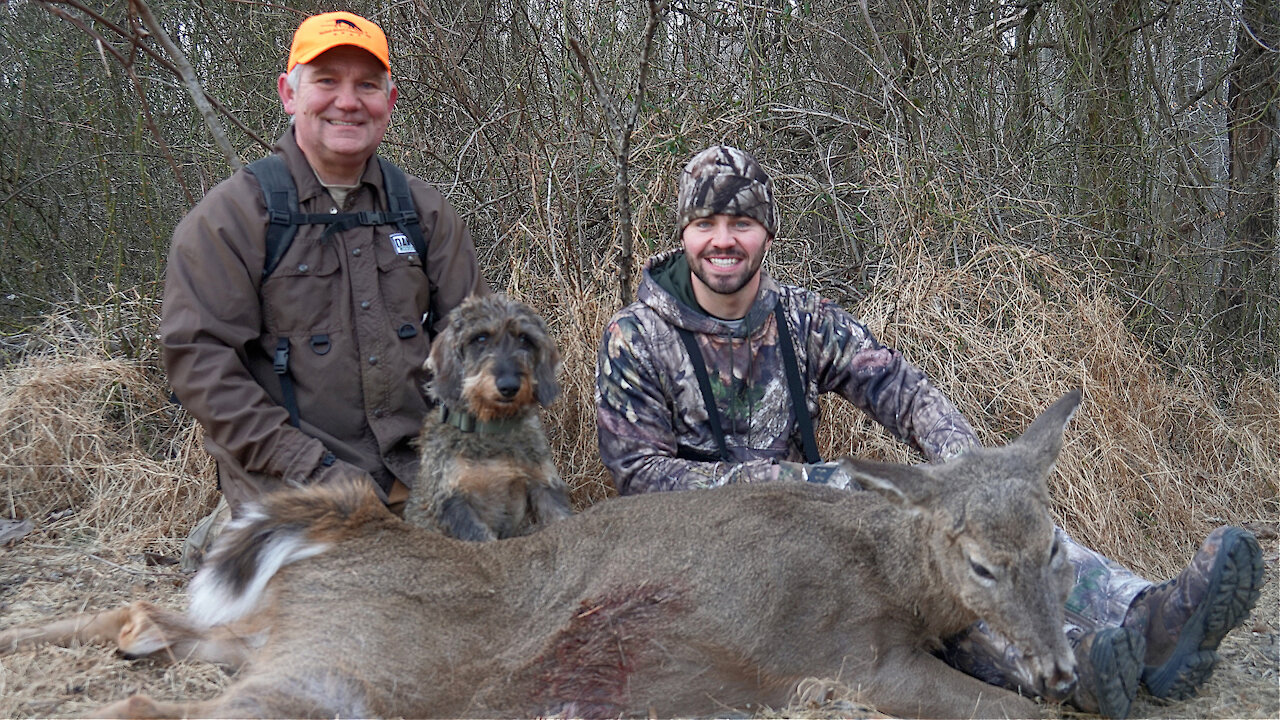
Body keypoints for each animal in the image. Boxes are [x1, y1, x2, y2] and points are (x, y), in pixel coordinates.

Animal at [0, 389, 1085, 712]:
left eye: (1055, 547)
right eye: (980, 562)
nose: (1063, 665)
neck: (891, 580)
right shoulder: (851, 662)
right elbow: (1000, 712)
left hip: (263, 638)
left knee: (149, 618)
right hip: (344, 676)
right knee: (145, 699)